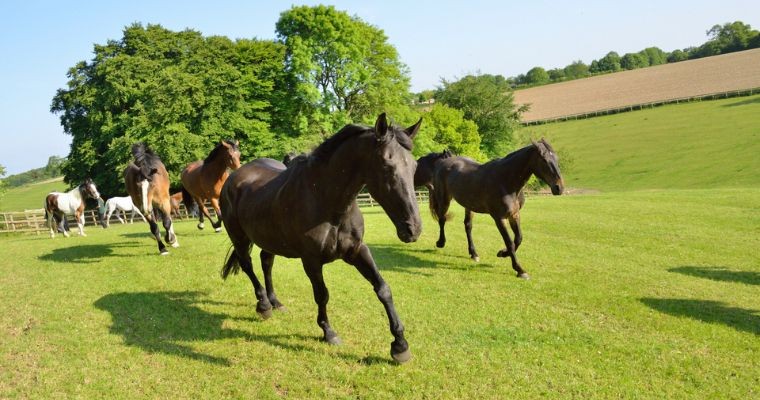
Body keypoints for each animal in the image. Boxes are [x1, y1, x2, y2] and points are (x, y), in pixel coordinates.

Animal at [220, 113, 422, 363]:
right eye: (387, 165)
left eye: (414, 166)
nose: (412, 229)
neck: (326, 200)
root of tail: (233, 178)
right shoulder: (311, 261)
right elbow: (322, 295)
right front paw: (328, 332)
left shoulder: (357, 251)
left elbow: (383, 288)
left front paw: (400, 345)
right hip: (239, 237)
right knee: (248, 265)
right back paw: (264, 305)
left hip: (269, 239)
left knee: (266, 262)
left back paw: (276, 302)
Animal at [429, 139, 564, 279]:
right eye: (544, 160)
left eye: (556, 158)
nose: (559, 188)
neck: (505, 181)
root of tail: (443, 162)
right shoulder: (499, 218)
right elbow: (509, 242)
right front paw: (520, 270)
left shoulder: (514, 215)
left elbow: (518, 238)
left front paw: (502, 253)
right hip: (444, 198)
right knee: (442, 219)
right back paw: (441, 242)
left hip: (468, 205)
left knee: (468, 226)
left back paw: (474, 253)